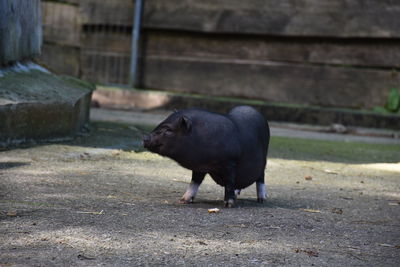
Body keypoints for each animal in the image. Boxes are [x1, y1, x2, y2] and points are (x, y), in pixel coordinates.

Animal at [142, 105, 270, 208]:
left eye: (168, 130)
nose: (145, 137)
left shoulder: (230, 162)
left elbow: (229, 183)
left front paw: (228, 204)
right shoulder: (199, 167)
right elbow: (194, 182)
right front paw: (183, 201)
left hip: (264, 159)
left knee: (261, 177)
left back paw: (262, 200)